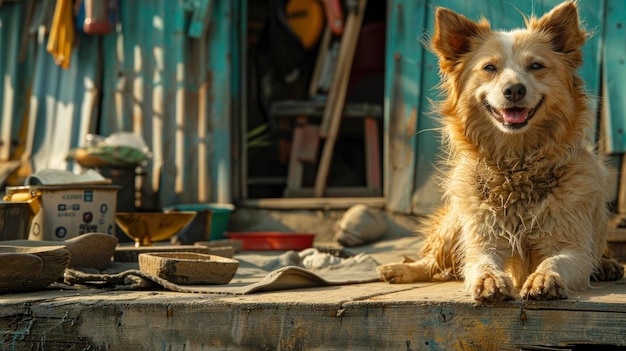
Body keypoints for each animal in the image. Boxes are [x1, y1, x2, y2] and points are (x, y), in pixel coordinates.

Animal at [378, 0, 620, 302]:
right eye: (490, 67)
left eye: (536, 66)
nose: (514, 90)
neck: (517, 165)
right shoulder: (483, 244)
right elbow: (481, 263)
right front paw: (490, 280)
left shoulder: (572, 247)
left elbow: (554, 261)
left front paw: (543, 278)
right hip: (454, 224)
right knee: (432, 262)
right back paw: (399, 269)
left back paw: (609, 265)